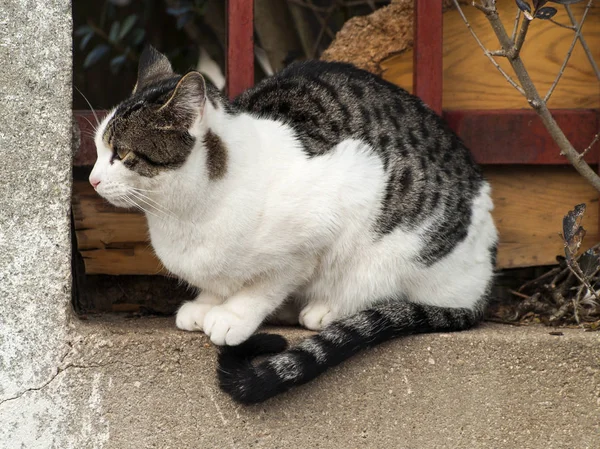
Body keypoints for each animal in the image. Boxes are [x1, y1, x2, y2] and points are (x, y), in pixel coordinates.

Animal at [90, 45, 496, 402]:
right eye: (96, 149)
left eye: (122, 154)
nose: (92, 179)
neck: (183, 217)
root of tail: (483, 283)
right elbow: (218, 283)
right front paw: (206, 303)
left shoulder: (317, 230)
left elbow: (267, 284)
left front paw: (233, 314)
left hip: (397, 247)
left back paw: (328, 308)